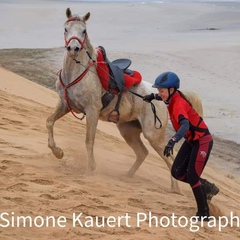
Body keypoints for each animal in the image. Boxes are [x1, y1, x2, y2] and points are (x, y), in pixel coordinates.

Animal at [46, 7, 202, 193]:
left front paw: (91, 169)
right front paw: (58, 152)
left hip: (153, 135)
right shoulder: (64, 105)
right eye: (66, 29)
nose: (73, 48)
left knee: (168, 158)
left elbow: (89, 140)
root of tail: (162, 98)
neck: (79, 73)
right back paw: (128, 175)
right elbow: (49, 122)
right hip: (128, 131)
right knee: (142, 153)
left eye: (84, 31)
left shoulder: (92, 111)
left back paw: (175, 189)